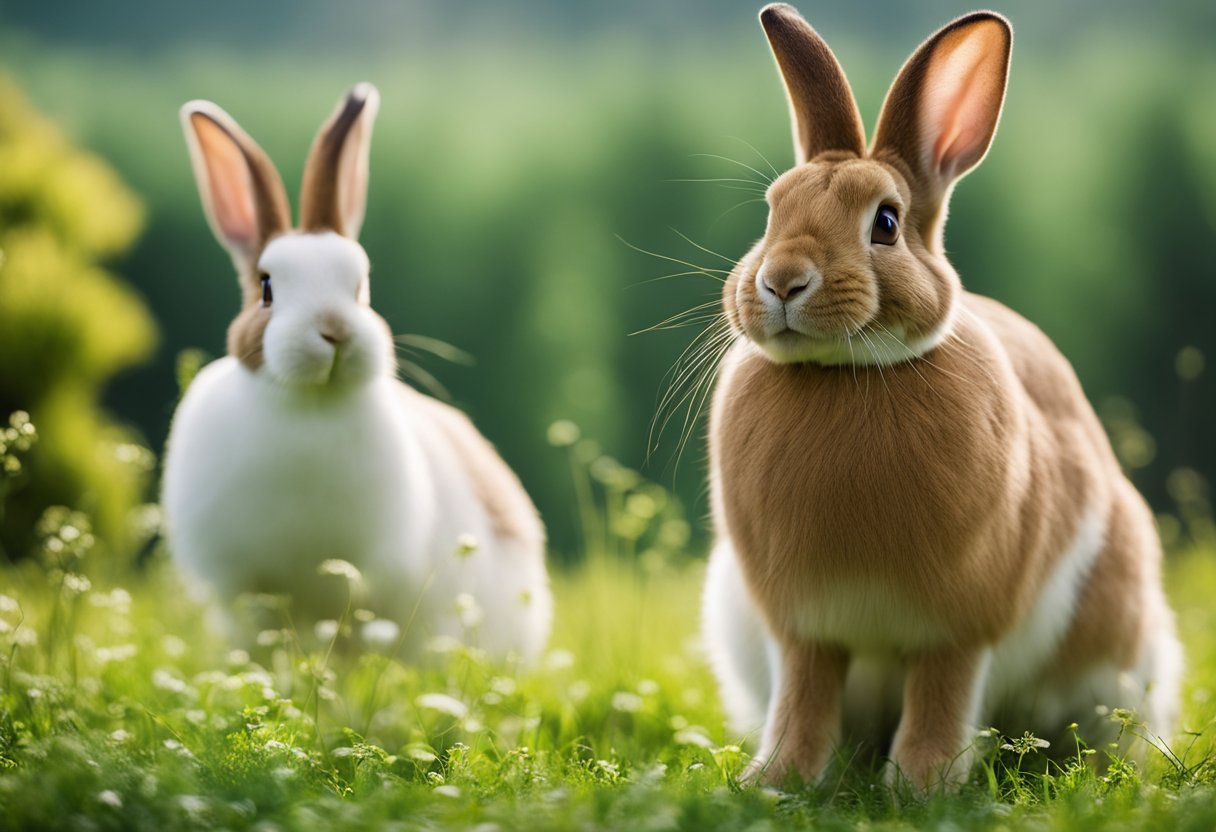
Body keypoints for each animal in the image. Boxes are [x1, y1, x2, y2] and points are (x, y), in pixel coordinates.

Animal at [700, 4, 1181, 793]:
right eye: (772, 212)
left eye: (885, 223)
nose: (782, 280)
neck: (847, 373)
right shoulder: (803, 629)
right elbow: (802, 698)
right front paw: (775, 781)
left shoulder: (957, 628)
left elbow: (939, 699)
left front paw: (920, 788)